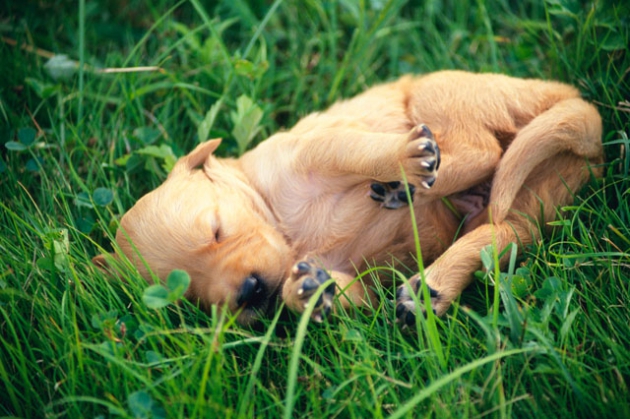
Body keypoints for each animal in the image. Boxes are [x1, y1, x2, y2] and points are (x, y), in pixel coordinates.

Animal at [92, 70, 604, 326]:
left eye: (217, 229)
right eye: (191, 295)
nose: (249, 292)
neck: (287, 229)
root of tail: (577, 103)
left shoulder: (318, 148)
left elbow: (363, 152)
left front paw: (403, 160)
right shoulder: (371, 275)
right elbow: (346, 292)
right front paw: (309, 290)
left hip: (443, 93)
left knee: (483, 150)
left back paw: (407, 184)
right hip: (533, 199)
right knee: (501, 232)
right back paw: (428, 289)